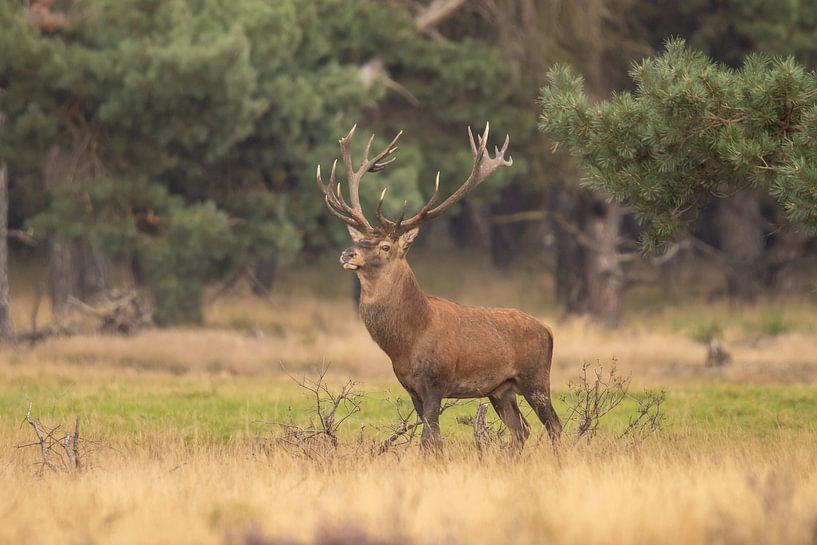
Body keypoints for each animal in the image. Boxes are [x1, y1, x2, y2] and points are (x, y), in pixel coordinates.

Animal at [314, 123, 560, 450]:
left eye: (385, 246)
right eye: (360, 239)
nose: (347, 253)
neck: (407, 342)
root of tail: (548, 330)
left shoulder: (436, 382)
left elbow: (430, 440)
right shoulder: (410, 386)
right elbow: (432, 438)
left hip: (536, 378)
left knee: (553, 425)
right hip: (500, 388)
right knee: (521, 430)